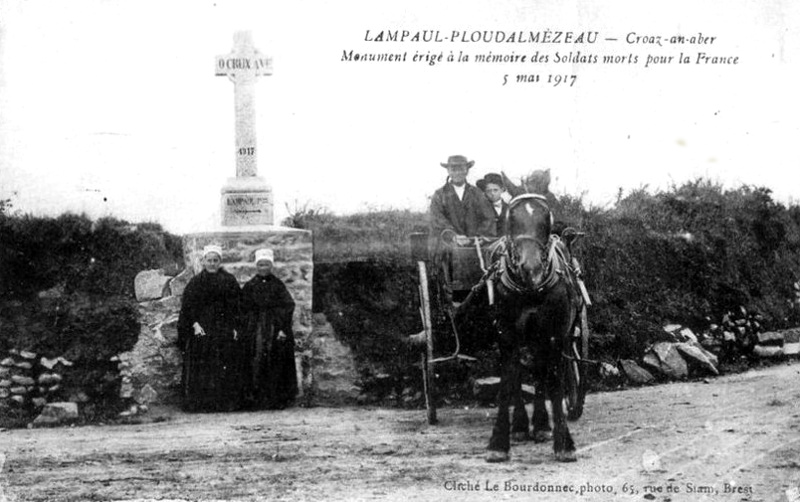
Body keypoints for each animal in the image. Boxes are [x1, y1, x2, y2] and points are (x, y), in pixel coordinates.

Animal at [484, 193, 580, 462]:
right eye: (511, 221)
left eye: (546, 221)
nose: (531, 269)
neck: (529, 291)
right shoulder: (505, 336)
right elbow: (507, 382)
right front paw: (499, 443)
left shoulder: (554, 336)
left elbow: (554, 384)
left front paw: (564, 443)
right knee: (520, 374)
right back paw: (519, 427)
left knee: (541, 373)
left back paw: (540, 425)